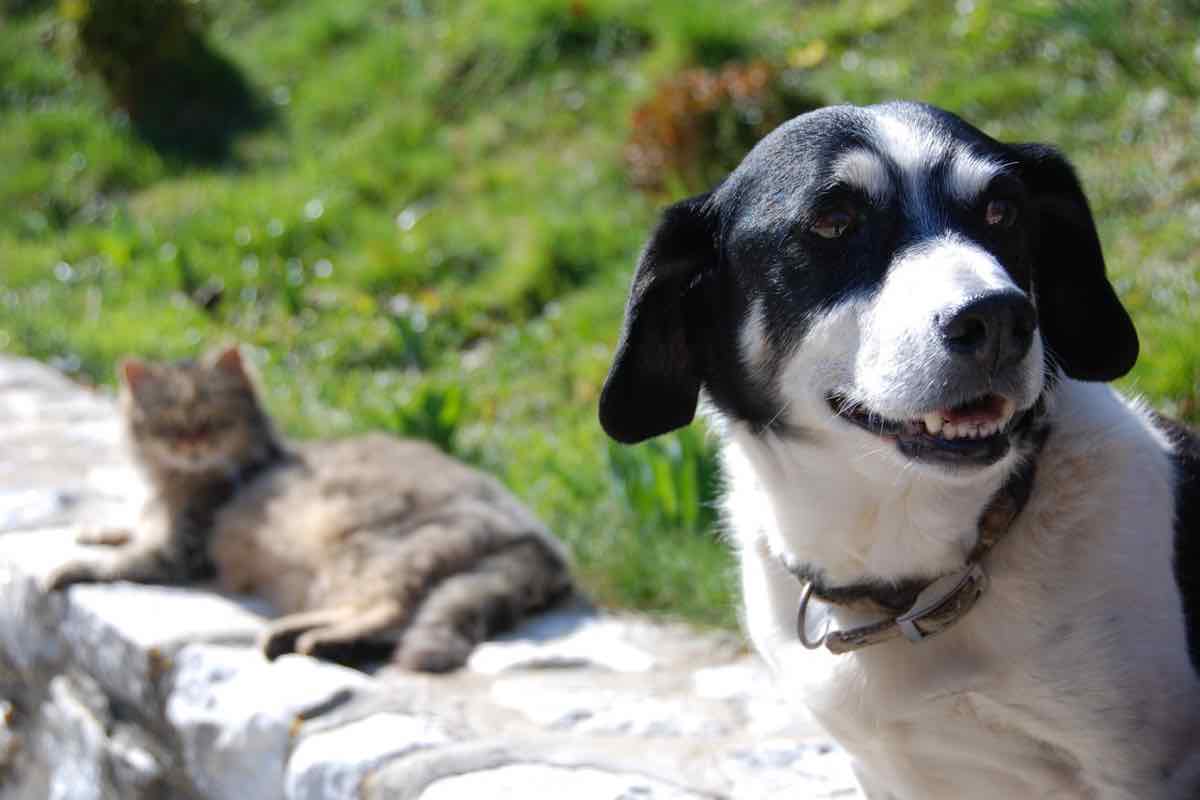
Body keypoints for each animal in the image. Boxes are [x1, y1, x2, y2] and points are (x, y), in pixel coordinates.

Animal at [45, 347, 571, 671]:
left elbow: (120, 561)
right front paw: (99, 530)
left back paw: (305, 639)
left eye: (213, 420)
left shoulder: (182, 548)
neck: (173, 482)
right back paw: (302, 639)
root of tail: (541, 540)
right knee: (391, 621)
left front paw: (72, 566)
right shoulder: (157, 519)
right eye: (169, 425)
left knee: (390, 611)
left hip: (377, 552)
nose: (193, 445)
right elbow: (128, 529)